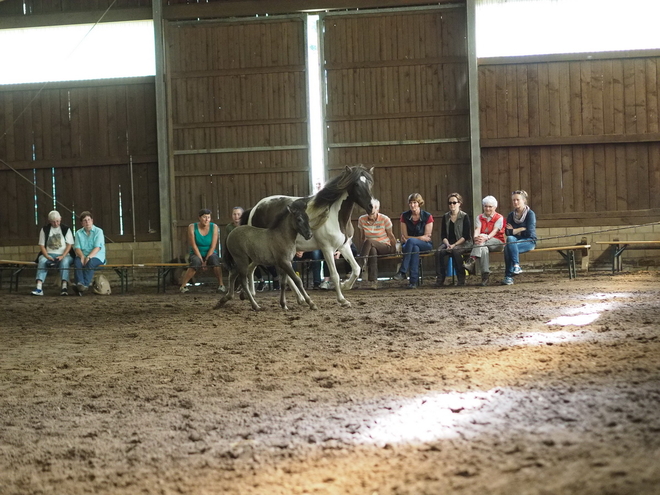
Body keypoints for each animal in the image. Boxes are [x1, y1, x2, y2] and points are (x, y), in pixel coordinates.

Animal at [245, 165, 374, 308]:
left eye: (370, 183)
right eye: (356, 184)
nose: (371, 207)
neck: (335, 216)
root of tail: (255, 208)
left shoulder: (344, 246)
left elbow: (356, 268)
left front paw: (345, 285)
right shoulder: (327, 249)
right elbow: (334, 275)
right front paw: (342, 299)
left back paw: (298, 299)